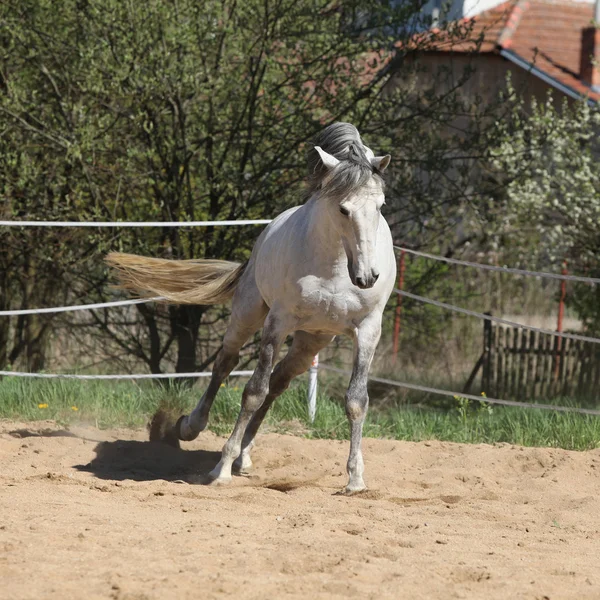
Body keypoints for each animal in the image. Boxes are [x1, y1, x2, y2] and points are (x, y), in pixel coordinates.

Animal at [108, 122, 396, 492]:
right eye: (343, 209)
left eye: (380, 206)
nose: (367, 277)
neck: (333, 268)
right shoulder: (277, 324)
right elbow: (253, 392)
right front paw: (221, 469)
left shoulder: (368, 331)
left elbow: (357, 401)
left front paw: (356, 480)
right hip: (247, 317)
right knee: (225, 365)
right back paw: (191, 427)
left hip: (312, 340)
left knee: (279, 381)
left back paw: (245, 457)